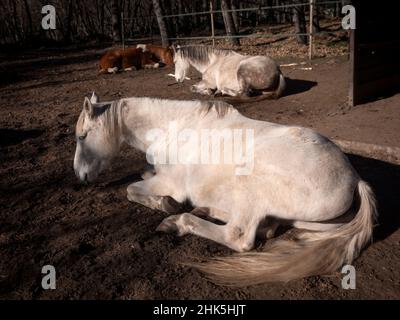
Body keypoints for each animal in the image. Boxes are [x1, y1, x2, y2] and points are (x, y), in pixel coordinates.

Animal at [73, 93, 376, 284]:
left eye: (82, 136)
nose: (79, 175)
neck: (173, 130)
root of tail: (354, 178)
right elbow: (142, 175)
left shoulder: (169, 183)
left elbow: (132, 190)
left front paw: (167, 205)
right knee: (266, 226)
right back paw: (205, 209)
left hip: (250, 192)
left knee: (238, 236)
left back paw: (179, 221)